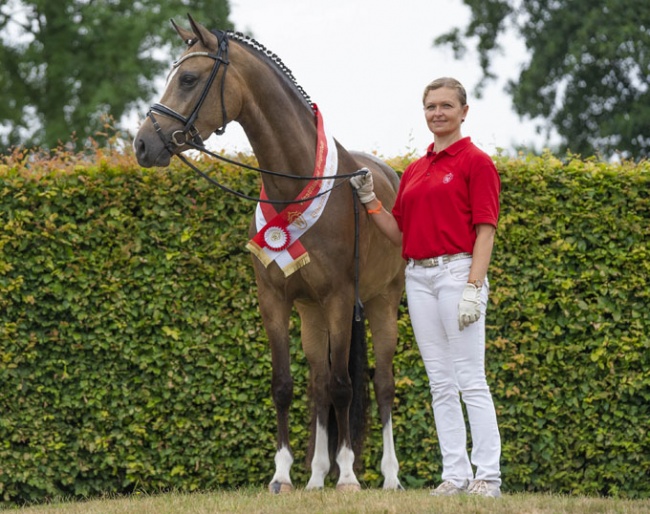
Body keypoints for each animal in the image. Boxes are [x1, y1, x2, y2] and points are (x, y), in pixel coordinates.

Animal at [134, 14, 402, 490]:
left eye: (188, 78)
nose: (143, 144)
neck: (296, 185)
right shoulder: (275, 300)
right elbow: (285, 385)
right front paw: (283, 475)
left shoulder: (339, 299)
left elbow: (345, 386)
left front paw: (348, 476)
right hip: (312, 313)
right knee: (317, 384)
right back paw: (317, 476)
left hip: (380, 301)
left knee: (381, 383)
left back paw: (387, 477)